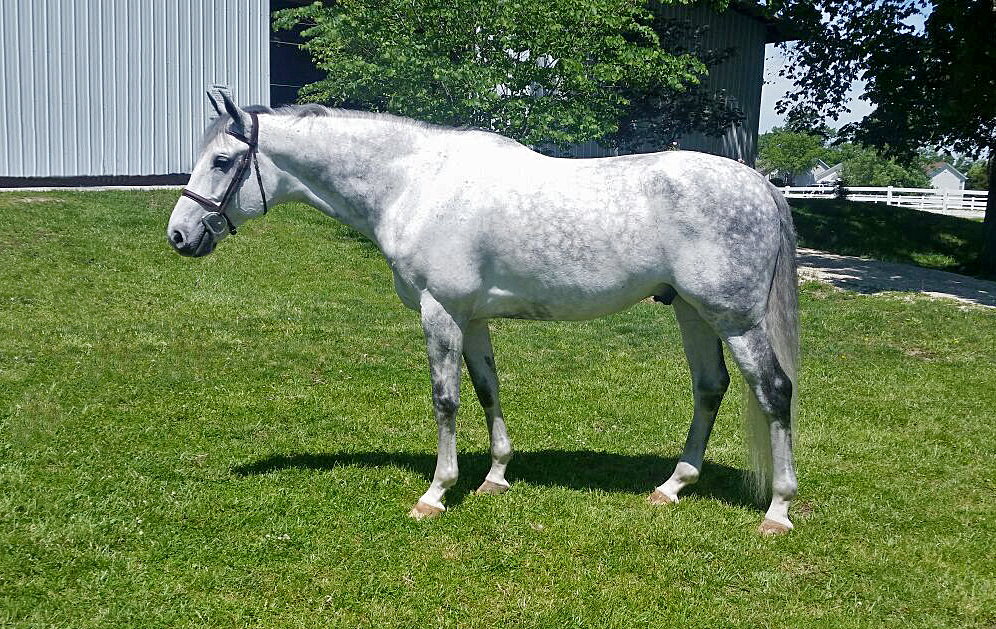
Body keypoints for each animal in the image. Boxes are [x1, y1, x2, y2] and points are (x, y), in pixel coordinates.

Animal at [167, 87, 800, 534]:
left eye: (221, 161)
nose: (179, 235)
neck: (415, 183)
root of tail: (760, 184)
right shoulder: (471, 317)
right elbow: (486, 389)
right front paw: (495, 476)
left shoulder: (440, 311)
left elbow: (445, 399)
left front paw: (436, 492)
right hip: (692, 312)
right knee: (710, 388)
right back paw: (673, 485)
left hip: (734, 320)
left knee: (773, 391)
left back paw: (777, 510)